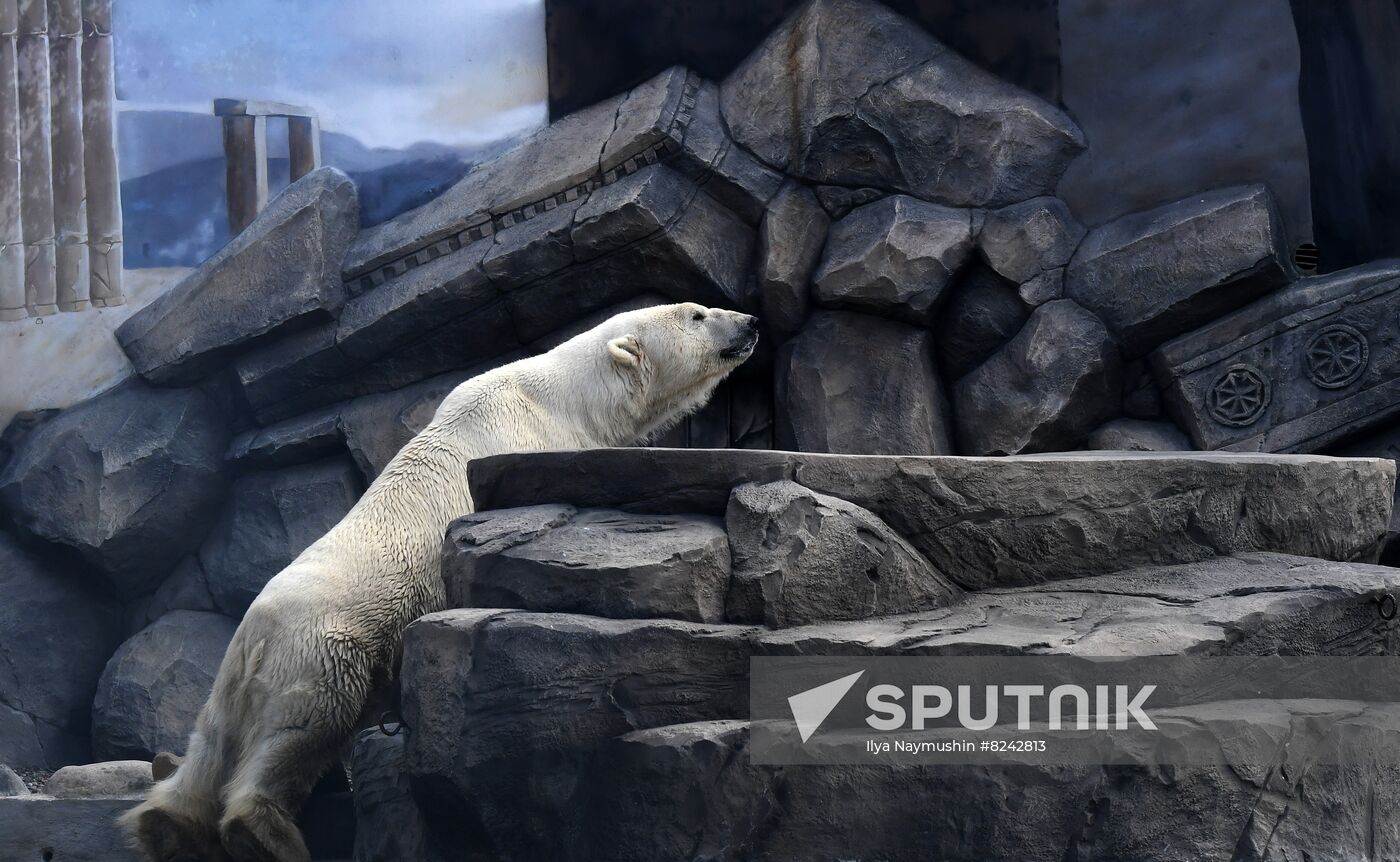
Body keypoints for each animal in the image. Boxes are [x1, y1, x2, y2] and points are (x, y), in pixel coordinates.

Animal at [121, 302, 760, 862]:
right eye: (698, 314)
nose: (751, 320)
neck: (570, 399)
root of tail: (251, 637)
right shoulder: (532, 441)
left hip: (236, 680)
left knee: (209, 747)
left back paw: (165, 827)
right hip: (325, 644)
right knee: (302, 728)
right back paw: (264, 833)